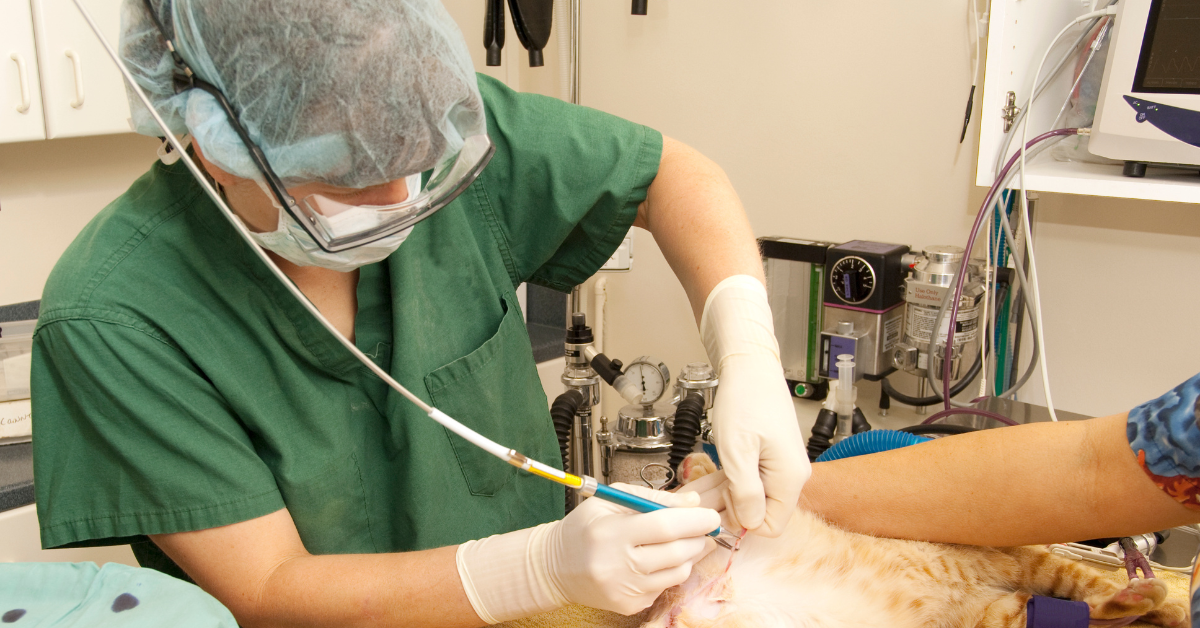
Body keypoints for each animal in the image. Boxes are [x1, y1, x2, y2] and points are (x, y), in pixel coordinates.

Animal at [643, 453, 1185, 628]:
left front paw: (1161, 606)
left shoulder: (999, 608)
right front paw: (1159, 602)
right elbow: (1090, 592)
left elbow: (1087, 592)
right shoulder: (1017, 575)